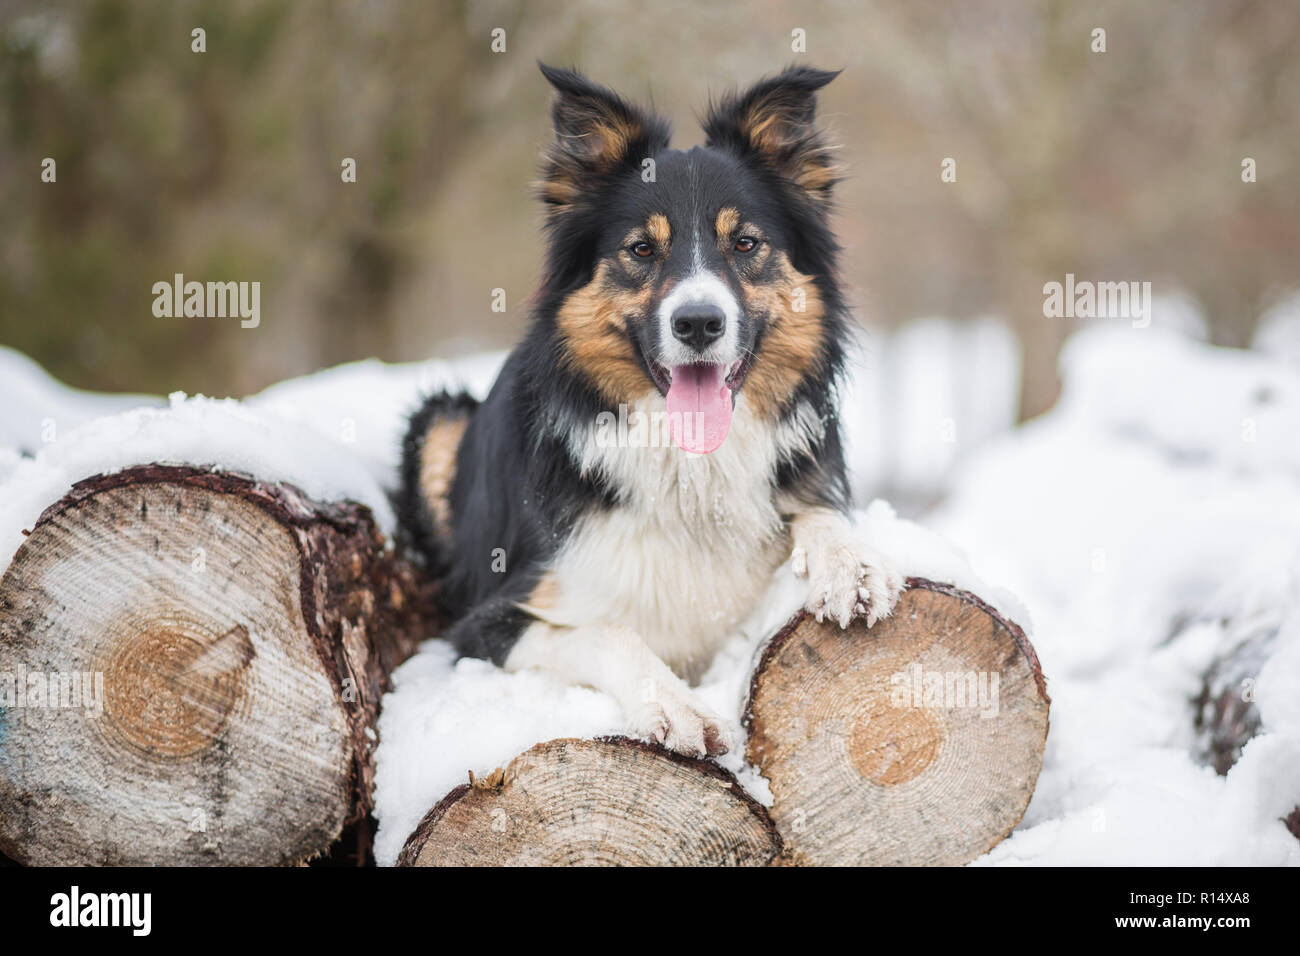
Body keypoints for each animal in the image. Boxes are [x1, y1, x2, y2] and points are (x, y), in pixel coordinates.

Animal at [395, 63, 904, 759]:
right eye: (641, 249)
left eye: (746, 242)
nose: (698, 322)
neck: (690, 470)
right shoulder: (488, 622)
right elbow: (605, 631)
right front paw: (672, 702)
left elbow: (817, 511)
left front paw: (849, 563)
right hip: (439, 423)